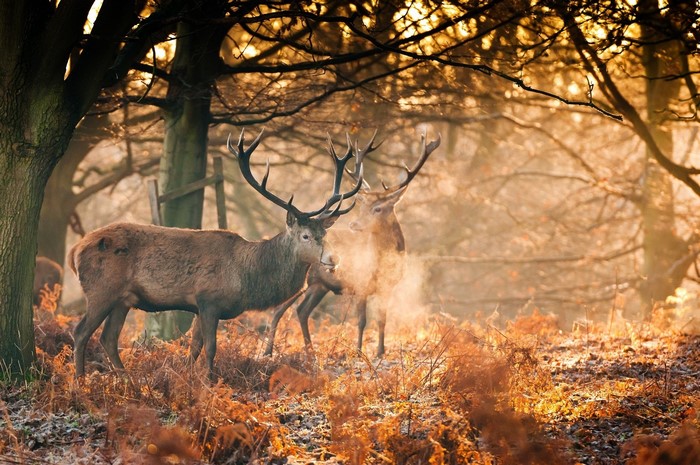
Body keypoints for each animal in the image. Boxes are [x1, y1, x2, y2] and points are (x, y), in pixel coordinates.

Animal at [68, 129, 364, 377]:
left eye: (324, 234)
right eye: (305, 235)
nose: (333, 259)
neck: (246, 277)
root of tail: (75, 249)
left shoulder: (198, 306)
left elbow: (194, 349)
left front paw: (187, 380)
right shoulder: (208, 299)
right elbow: (210, 348)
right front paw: (208, 383)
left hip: (123, 299)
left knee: (108, 338)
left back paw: (127, 380)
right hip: (101, 290)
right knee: (81, 332)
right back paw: (80, 382)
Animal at [264, 132, 440, 358]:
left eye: (378, 208)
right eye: (362, 207)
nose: (353, 224)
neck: (382, 263)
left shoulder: (388, 288)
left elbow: (382, 320)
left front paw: (380, 352)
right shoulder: (360, 284)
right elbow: (362, 320)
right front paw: (358, 352)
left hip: (319, 285)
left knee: (302, 311)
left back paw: (310, 350)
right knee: (278, 310)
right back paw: (268, 352)